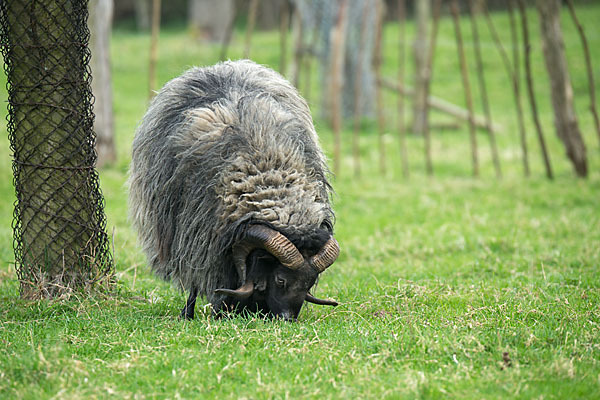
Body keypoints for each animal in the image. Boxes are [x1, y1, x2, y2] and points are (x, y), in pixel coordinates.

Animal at [128, 60, 340, 322]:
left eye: (309, 283)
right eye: (280, 280)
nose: (287, 318)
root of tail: (218, 66)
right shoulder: (202, 234)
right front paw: (218, 310)